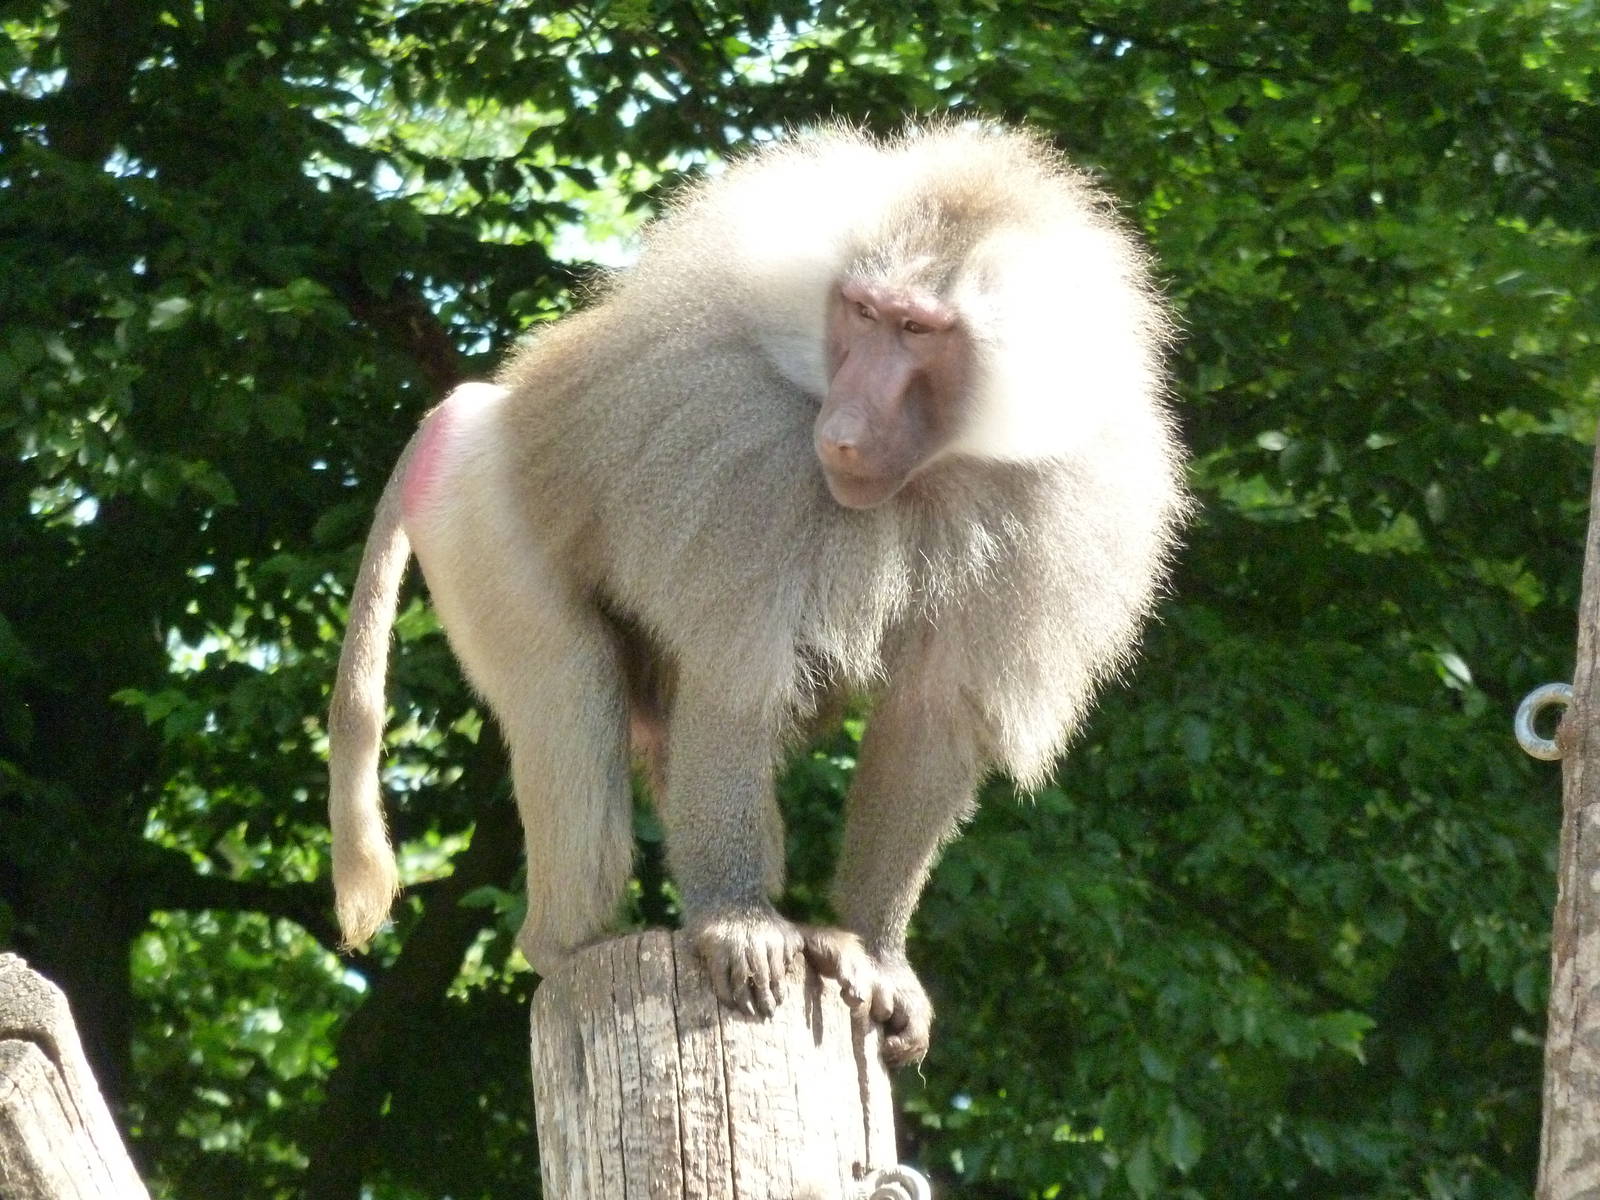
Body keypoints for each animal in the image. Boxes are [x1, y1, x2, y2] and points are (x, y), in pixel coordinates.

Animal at [328, 122, 1187, 1066]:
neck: (931, 472)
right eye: (861, 312)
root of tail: (472, 408)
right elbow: (739, 675)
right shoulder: (740, 456)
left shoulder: (1054, 506)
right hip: (481, 517)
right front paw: (738, 925)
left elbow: (933, 714)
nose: (841, 434)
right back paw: (573, 943)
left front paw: (875, 952)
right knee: (572, 686)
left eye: (918, 329)